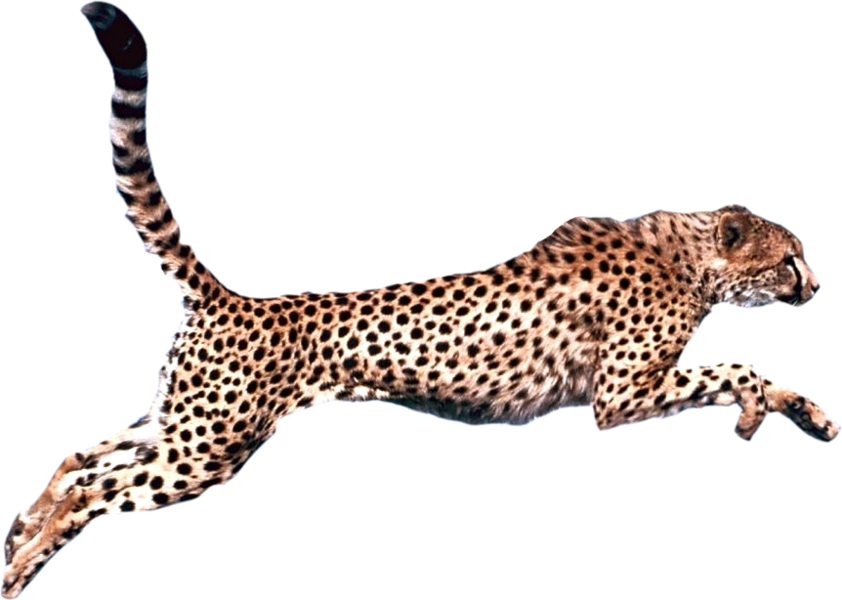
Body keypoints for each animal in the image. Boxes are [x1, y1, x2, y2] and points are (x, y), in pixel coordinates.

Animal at [1, 1, 838, 598]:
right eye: (791, 258)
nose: (820, 285)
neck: (693, 258)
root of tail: (228, 297)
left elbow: (752, 375)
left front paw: (804, 415)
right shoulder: (621, 396)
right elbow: (734, 368)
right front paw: (765, 409)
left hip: (180, 423)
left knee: (77, 459)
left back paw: (19, 534)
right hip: (207, 446)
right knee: (96, 486)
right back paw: (23, 562)